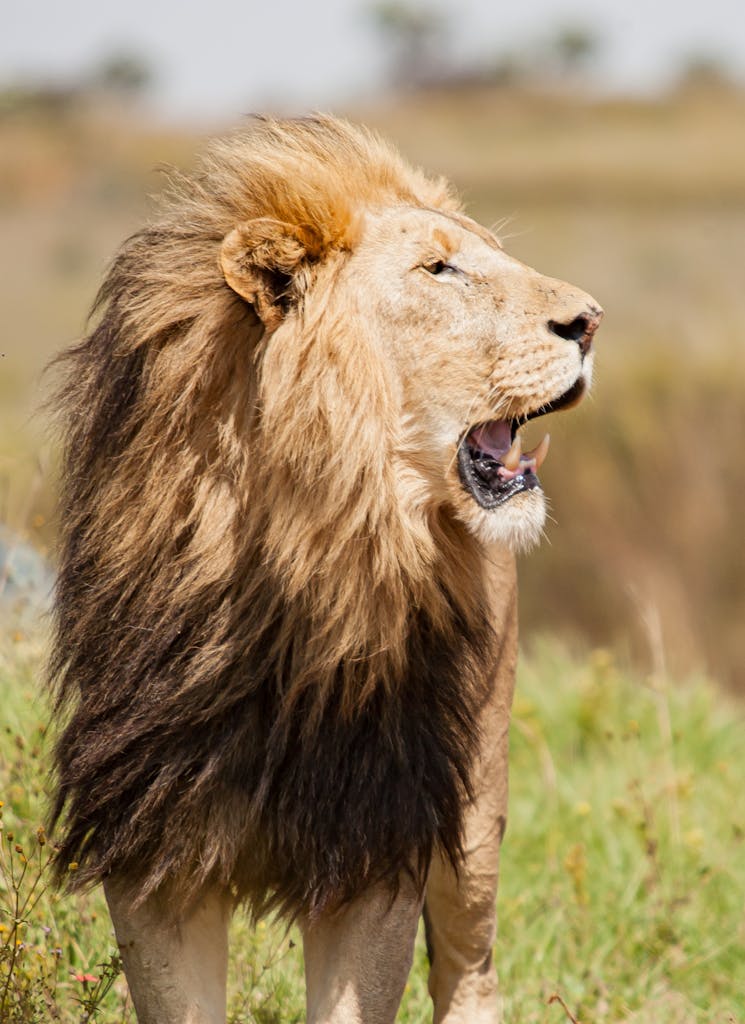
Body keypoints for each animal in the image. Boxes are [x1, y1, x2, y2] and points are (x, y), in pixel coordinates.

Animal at [48, 116, 602, 1024]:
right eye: (439, 269)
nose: (590, 321)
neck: (300, 566)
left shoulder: (378, 835)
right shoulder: (151, 843)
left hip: (474, 807)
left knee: (470, 967)